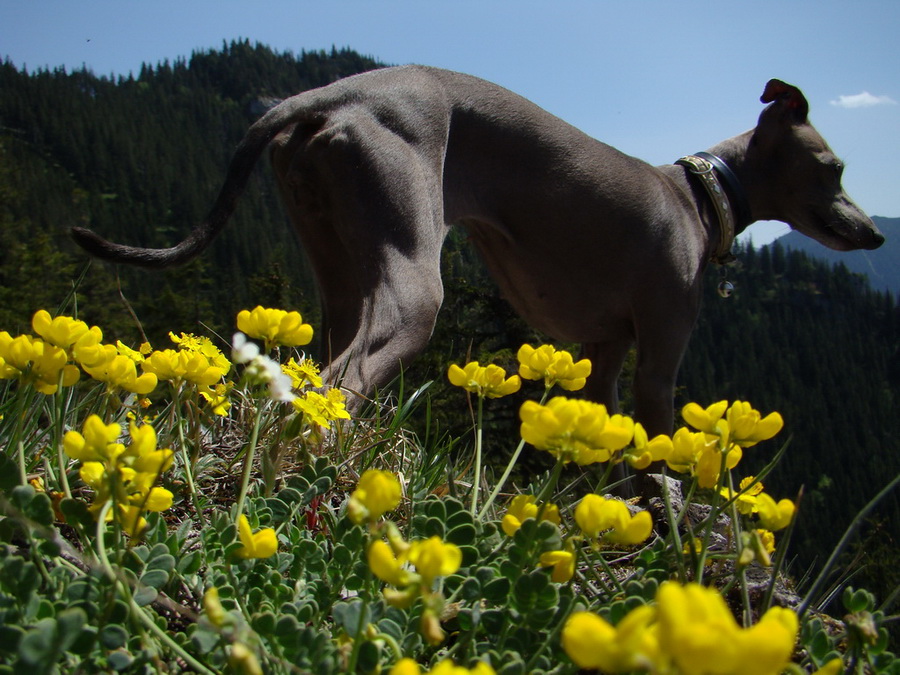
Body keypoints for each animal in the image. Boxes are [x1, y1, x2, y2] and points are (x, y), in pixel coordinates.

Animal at [72, 66, 884, 436]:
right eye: (836, 167)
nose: (873, 233)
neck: (700, 192)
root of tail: (336, 94)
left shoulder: (604, 360)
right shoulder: (658, 364)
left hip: (336, 267)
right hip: (411, 285)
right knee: (339, 385)